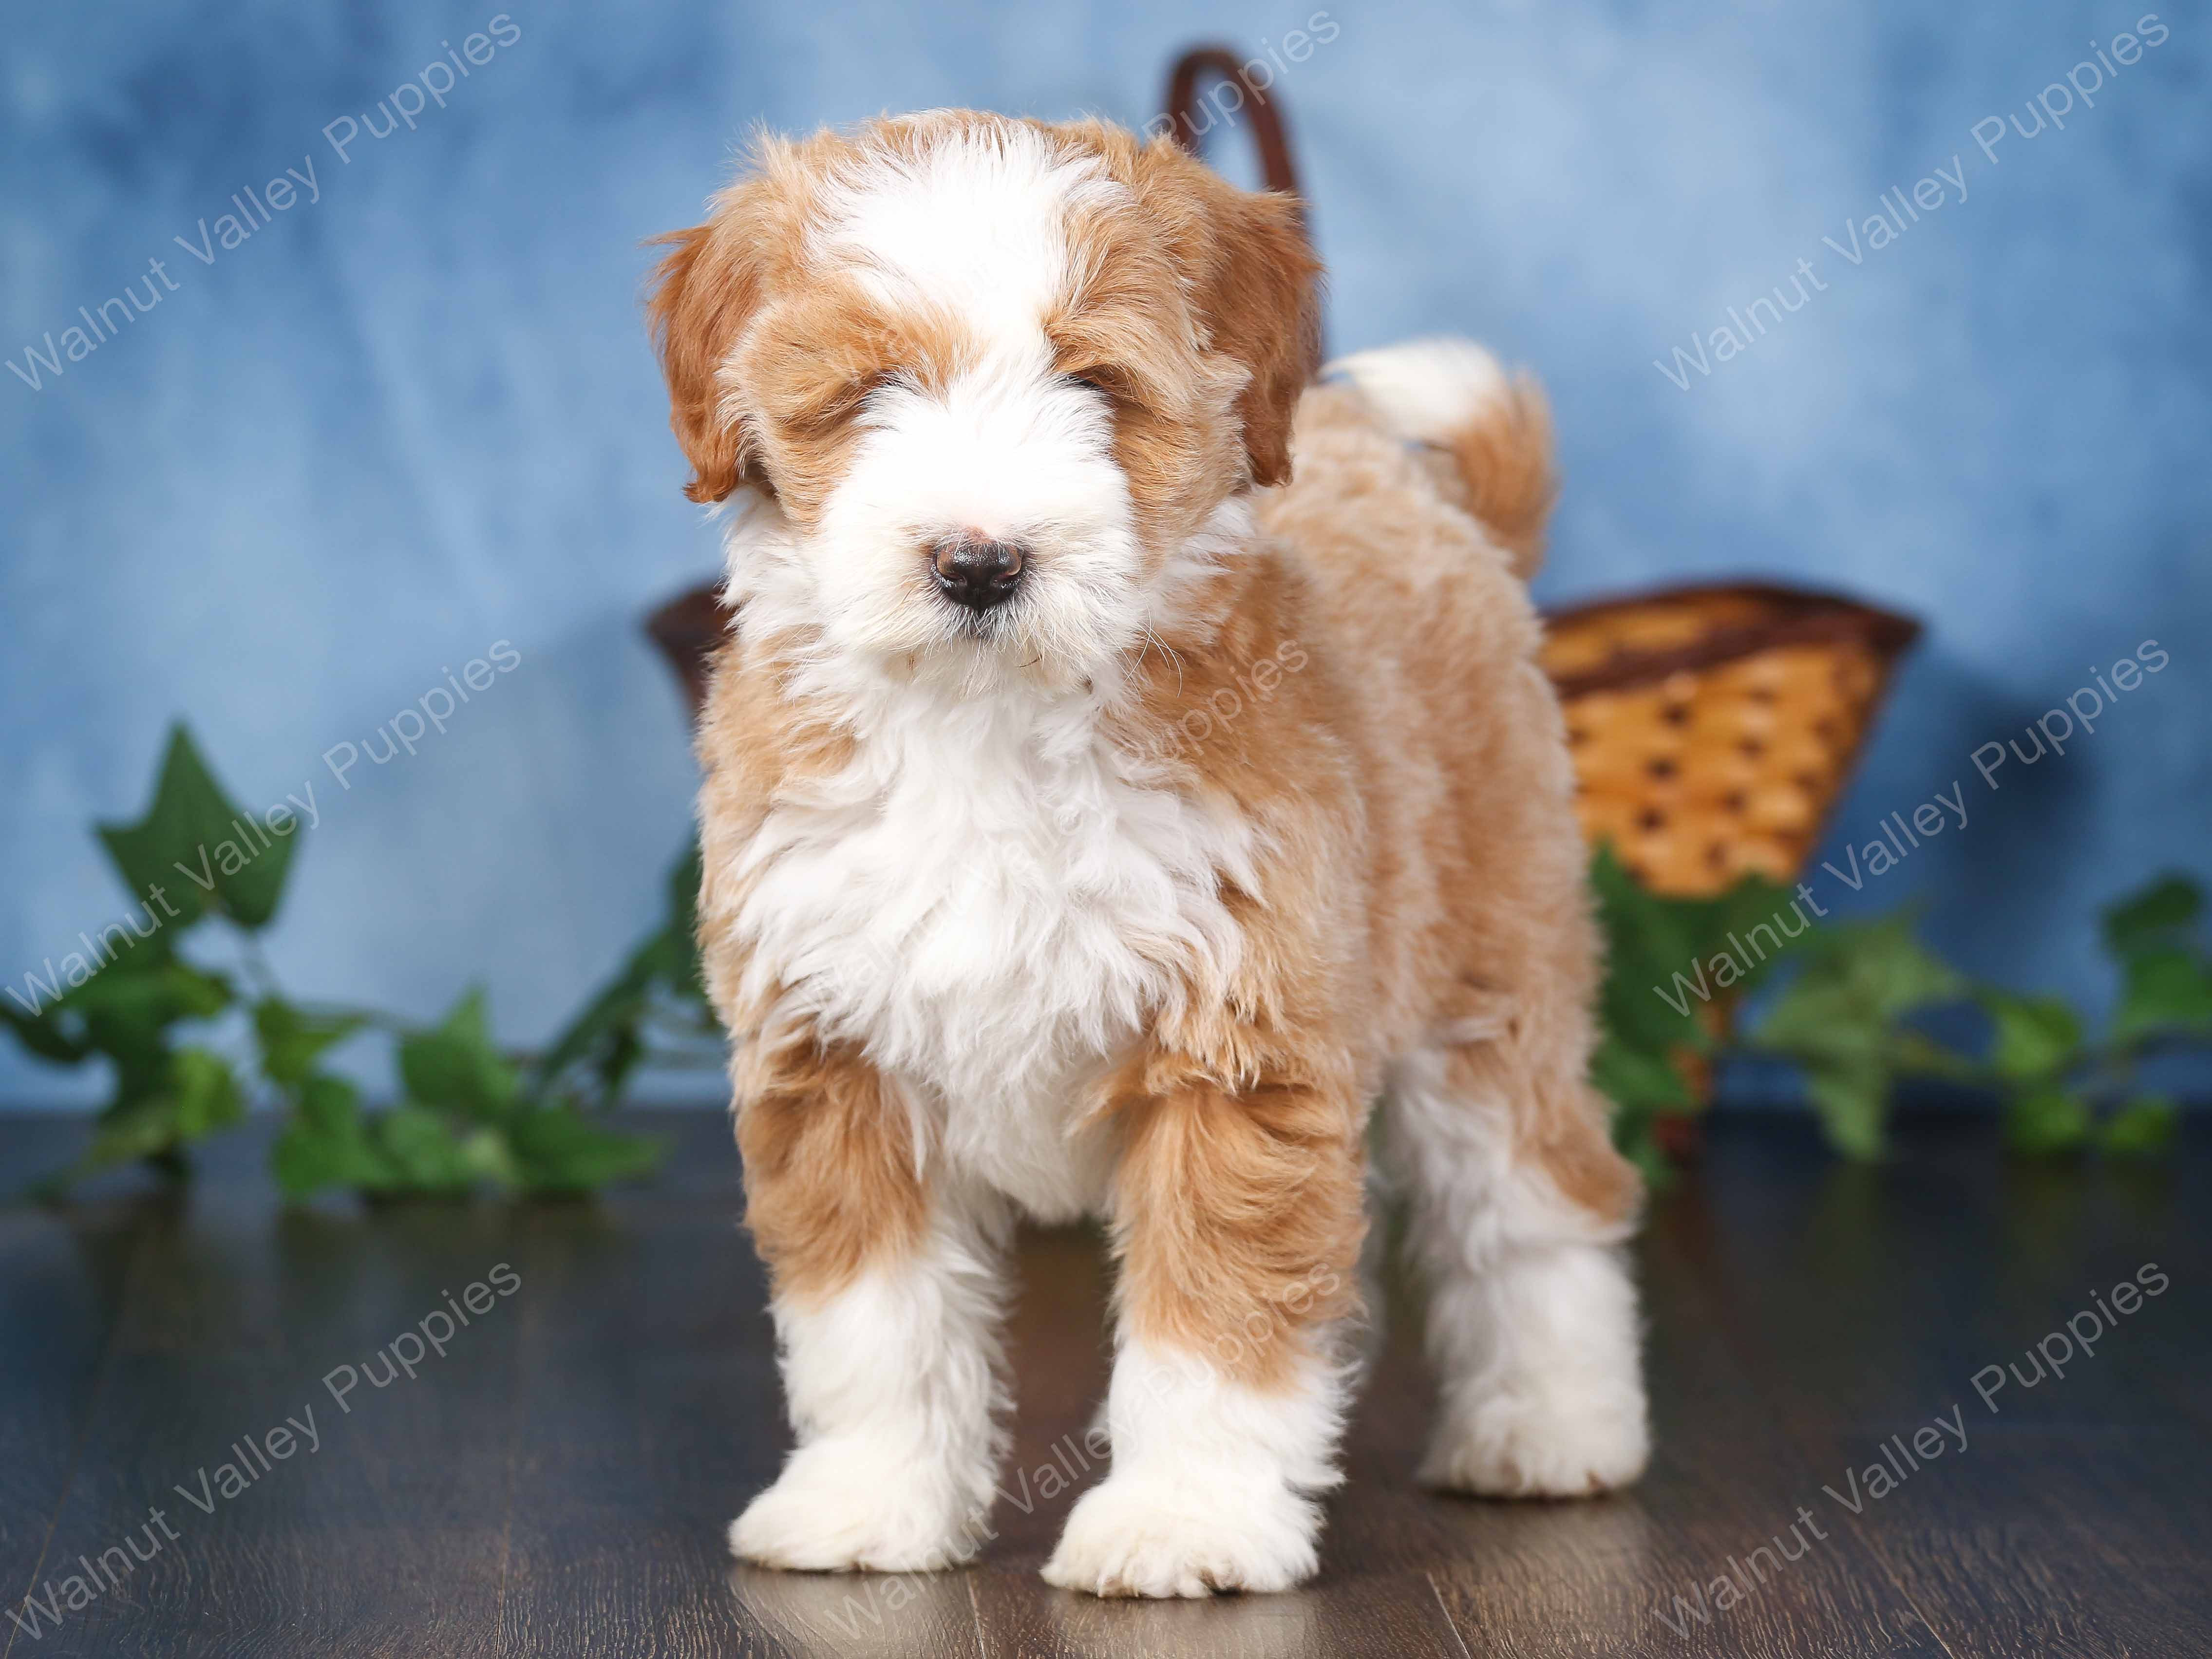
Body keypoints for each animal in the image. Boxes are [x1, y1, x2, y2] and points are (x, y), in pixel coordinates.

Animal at [647, 111, 1648, 1600]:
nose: (978, 561)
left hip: (1486, 964)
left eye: (1094, 381)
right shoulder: (834, 1053)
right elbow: (872, 1318)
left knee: (1532, 1203)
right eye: (871, 387)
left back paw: (1550, 1425)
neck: (990, 723)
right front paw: (867, 1502)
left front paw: (1185, 1520)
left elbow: (1214, 1311)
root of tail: (1433, 512)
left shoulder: (1236, 1047)